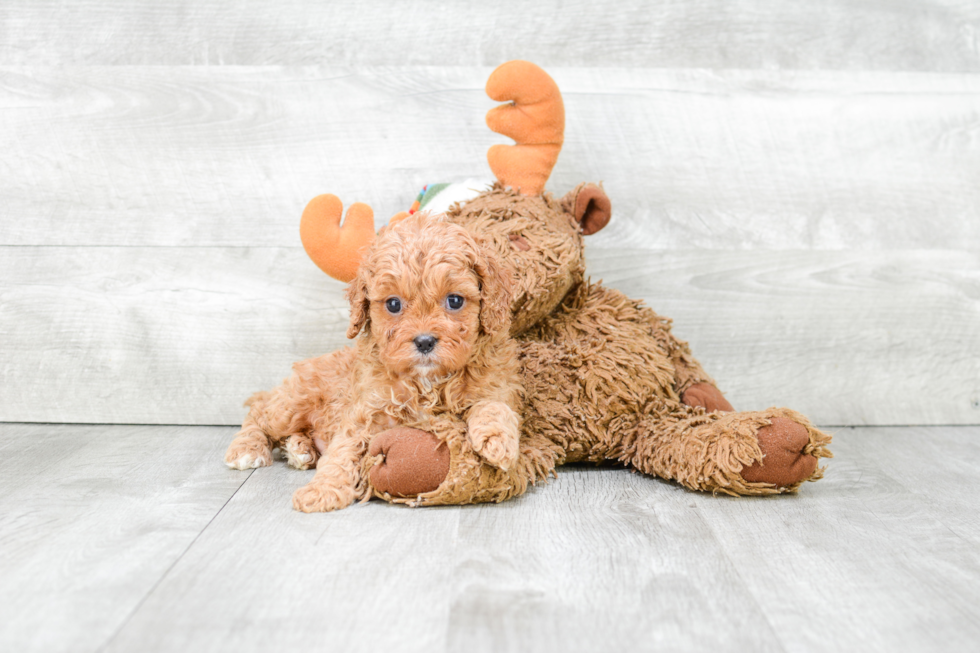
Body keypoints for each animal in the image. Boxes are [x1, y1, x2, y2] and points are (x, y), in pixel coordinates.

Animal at [226, 211, 524, 512]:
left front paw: (498, 440)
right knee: (259, 411)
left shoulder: (495, 384)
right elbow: (342, 452)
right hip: (294, 403)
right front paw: (322, 491)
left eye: (454, 300)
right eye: (393, 304)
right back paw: (247, 449)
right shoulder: (366, 411)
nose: (425, 341)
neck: (427, 382)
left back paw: (300, 449)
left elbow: (493, 405)